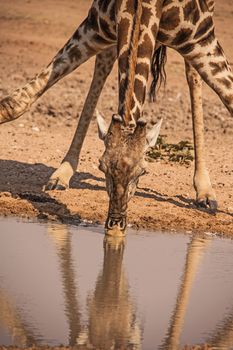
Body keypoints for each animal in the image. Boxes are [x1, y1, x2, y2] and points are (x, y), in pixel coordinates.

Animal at [0, 0, 233, 235]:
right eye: (101, 166)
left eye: (143, 172)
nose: (115, 223)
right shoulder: (93, 28)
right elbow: (13, 105)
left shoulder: (201, 40)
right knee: (103, 64)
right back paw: (61, 175)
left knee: (192, 76)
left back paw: (205, 192)